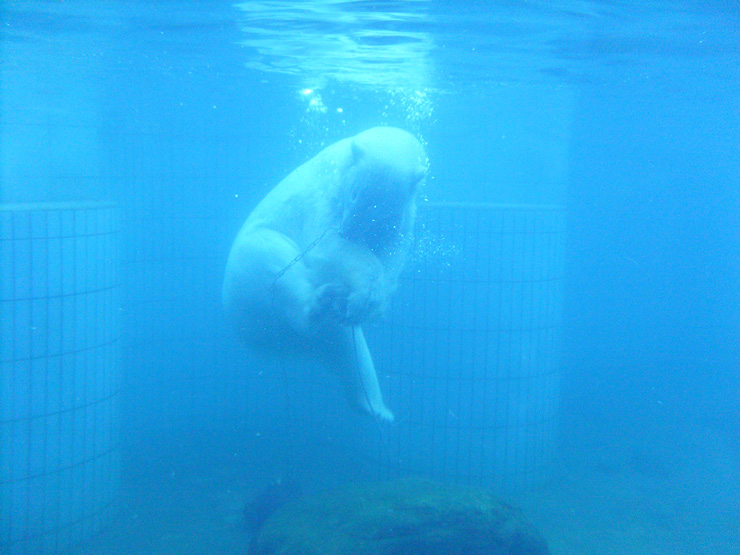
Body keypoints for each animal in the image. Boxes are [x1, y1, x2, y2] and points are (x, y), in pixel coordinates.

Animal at [223, 127, 424, 422]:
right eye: (355, 194)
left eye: (379, 208)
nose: (348, 228)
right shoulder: (324, 194)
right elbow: (328, 246)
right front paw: (364, 291)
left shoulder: (403, 214)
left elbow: (392, 254)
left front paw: (375, 302)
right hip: (247, 266)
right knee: (275, 264)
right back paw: (319, 303)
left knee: (347, 349)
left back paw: (377, 409)